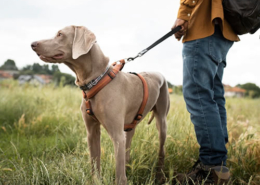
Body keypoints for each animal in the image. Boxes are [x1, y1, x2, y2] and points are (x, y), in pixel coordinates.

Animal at [31, 25, 171, 184]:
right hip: (130, 125)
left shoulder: (117, 136)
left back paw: (159, 176)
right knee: (128, 147)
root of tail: (160, 74)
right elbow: (95, 163)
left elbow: (119, 175)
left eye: (60, 34)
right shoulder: (92, 132)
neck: (96, 81)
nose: (32, 44)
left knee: (161, 150)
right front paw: (96, 179)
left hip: (162, 122)